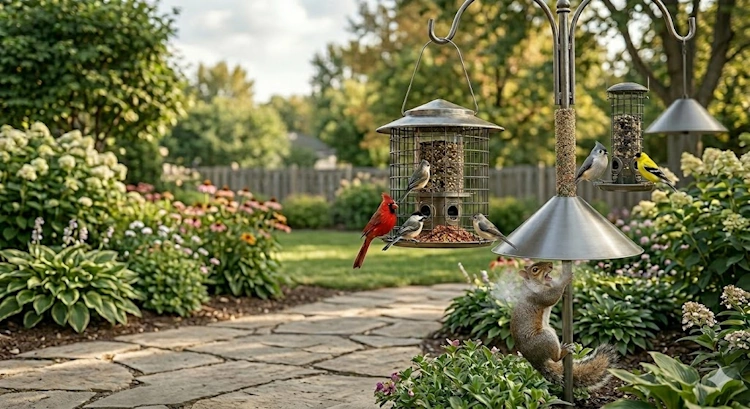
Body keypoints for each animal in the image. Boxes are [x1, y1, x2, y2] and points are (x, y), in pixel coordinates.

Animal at [510, 261, 616, 390]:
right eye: (535, 270)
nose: (551, 264)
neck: (532, 285)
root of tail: (534, 360)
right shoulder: (538, 296)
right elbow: (552, 297)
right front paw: (565, 278)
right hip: (546, 337)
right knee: (556, 358)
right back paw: (564, 350)